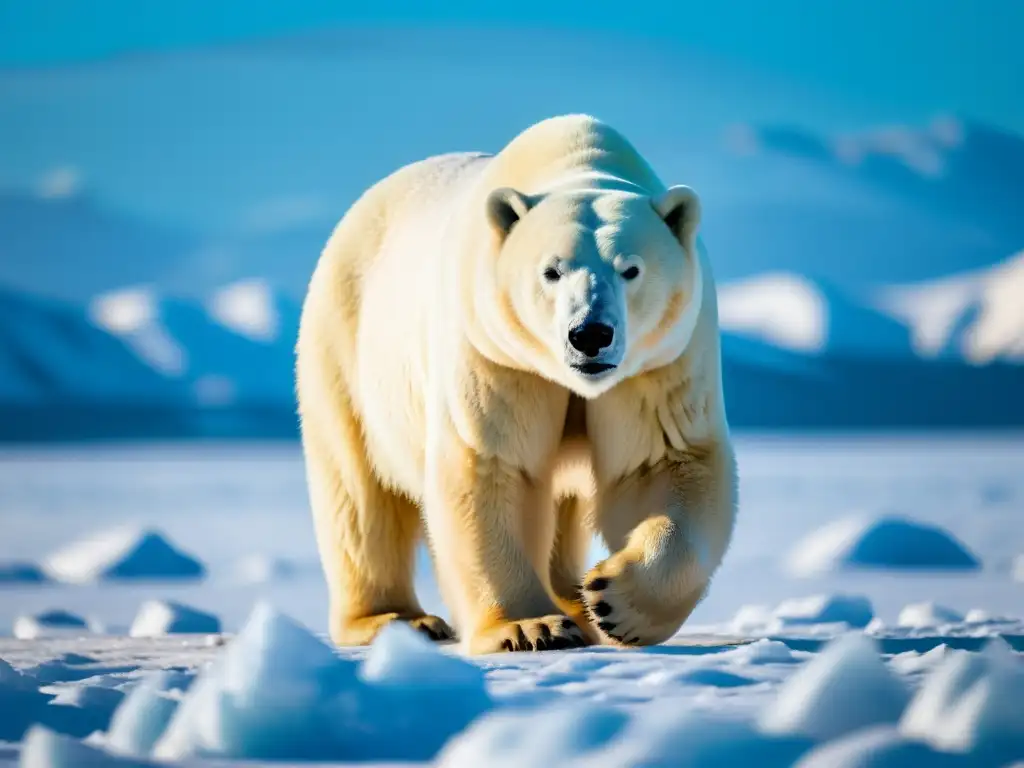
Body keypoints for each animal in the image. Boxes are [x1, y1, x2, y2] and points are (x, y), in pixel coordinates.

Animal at [296, 114, 737, 655]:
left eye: (631, 268)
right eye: (551, 271)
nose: (590, 334)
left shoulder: (659, 361)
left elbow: (661, 462)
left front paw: (612, 599)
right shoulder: (496, 353)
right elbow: (492, 464)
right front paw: (531, 627)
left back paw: (575, 601)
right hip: (345, 347)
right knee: (359, 494)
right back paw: (397, 619)